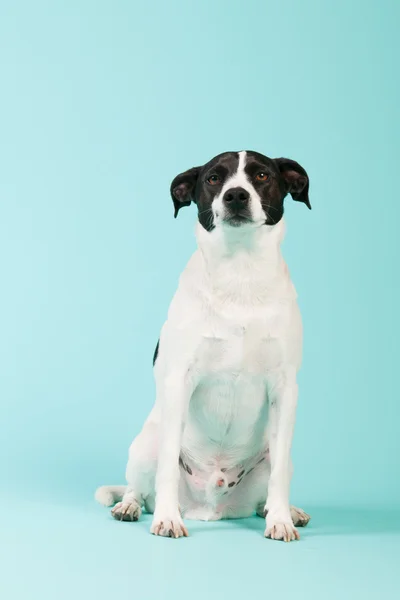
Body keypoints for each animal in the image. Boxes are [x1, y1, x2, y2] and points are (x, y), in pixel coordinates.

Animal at [97, 149, 312, 540]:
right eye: (213, 178)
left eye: (261, 175)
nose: (236, 195)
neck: (240, 272)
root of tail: (210, 508)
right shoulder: (179, 381)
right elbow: (167, 466)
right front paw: (167, 518)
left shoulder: (285, 387)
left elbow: (277, 481)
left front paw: (281, 519)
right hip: (146, 443)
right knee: (140, 487)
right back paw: (131, 506)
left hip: (278, 455)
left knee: (269, 486)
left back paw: (285, 510)